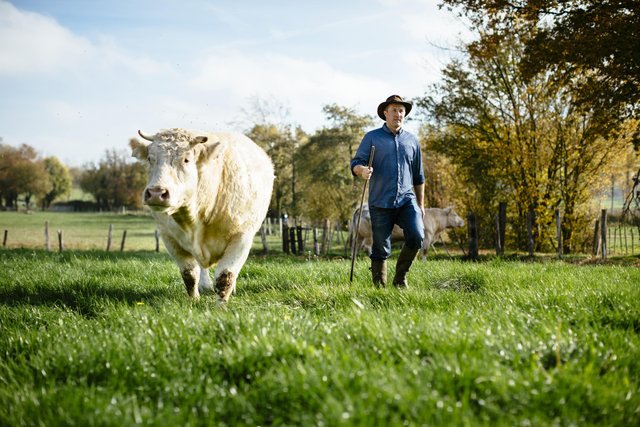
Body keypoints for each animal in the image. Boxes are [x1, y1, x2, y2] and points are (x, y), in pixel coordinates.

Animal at [131, 129, 274, 302]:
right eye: (150, 159)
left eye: (186, 159)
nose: (156, 193)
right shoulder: (169, 237)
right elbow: (189, 273)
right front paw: (194, 300)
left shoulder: (242, 237)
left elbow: (225, 276)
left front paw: (221, 305)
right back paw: (205, 286)